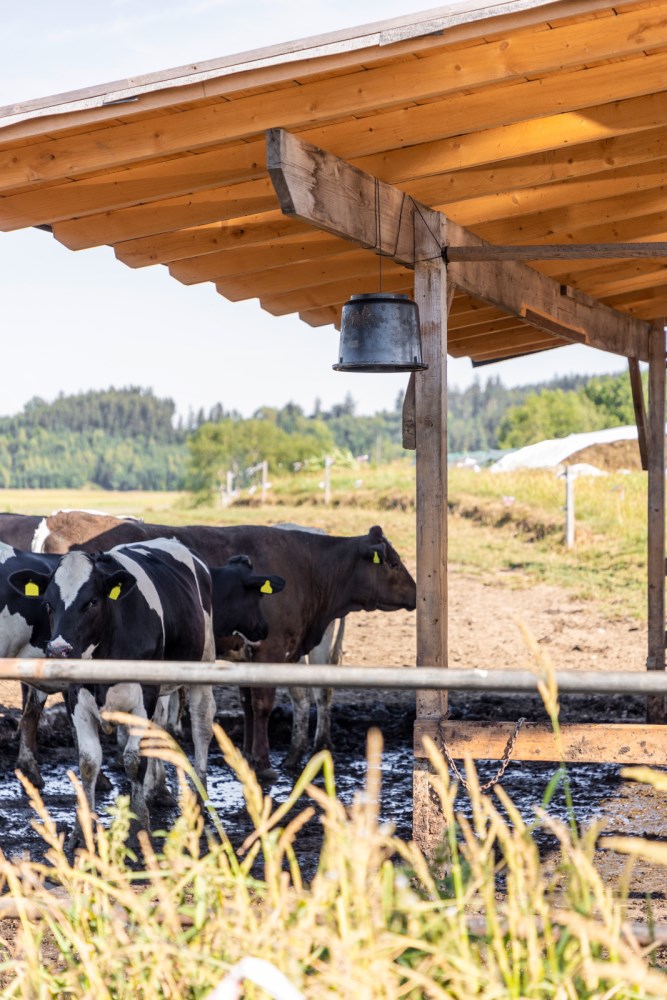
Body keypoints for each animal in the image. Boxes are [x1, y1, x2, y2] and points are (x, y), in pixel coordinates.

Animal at [34, 516, 418, 780]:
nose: (417, 594)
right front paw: (263, 763)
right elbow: (262, 705)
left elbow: (249, 704)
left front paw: (247, 754)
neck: (308, 564)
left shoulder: (254, 654)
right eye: (394, 563)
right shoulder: (271, 651)